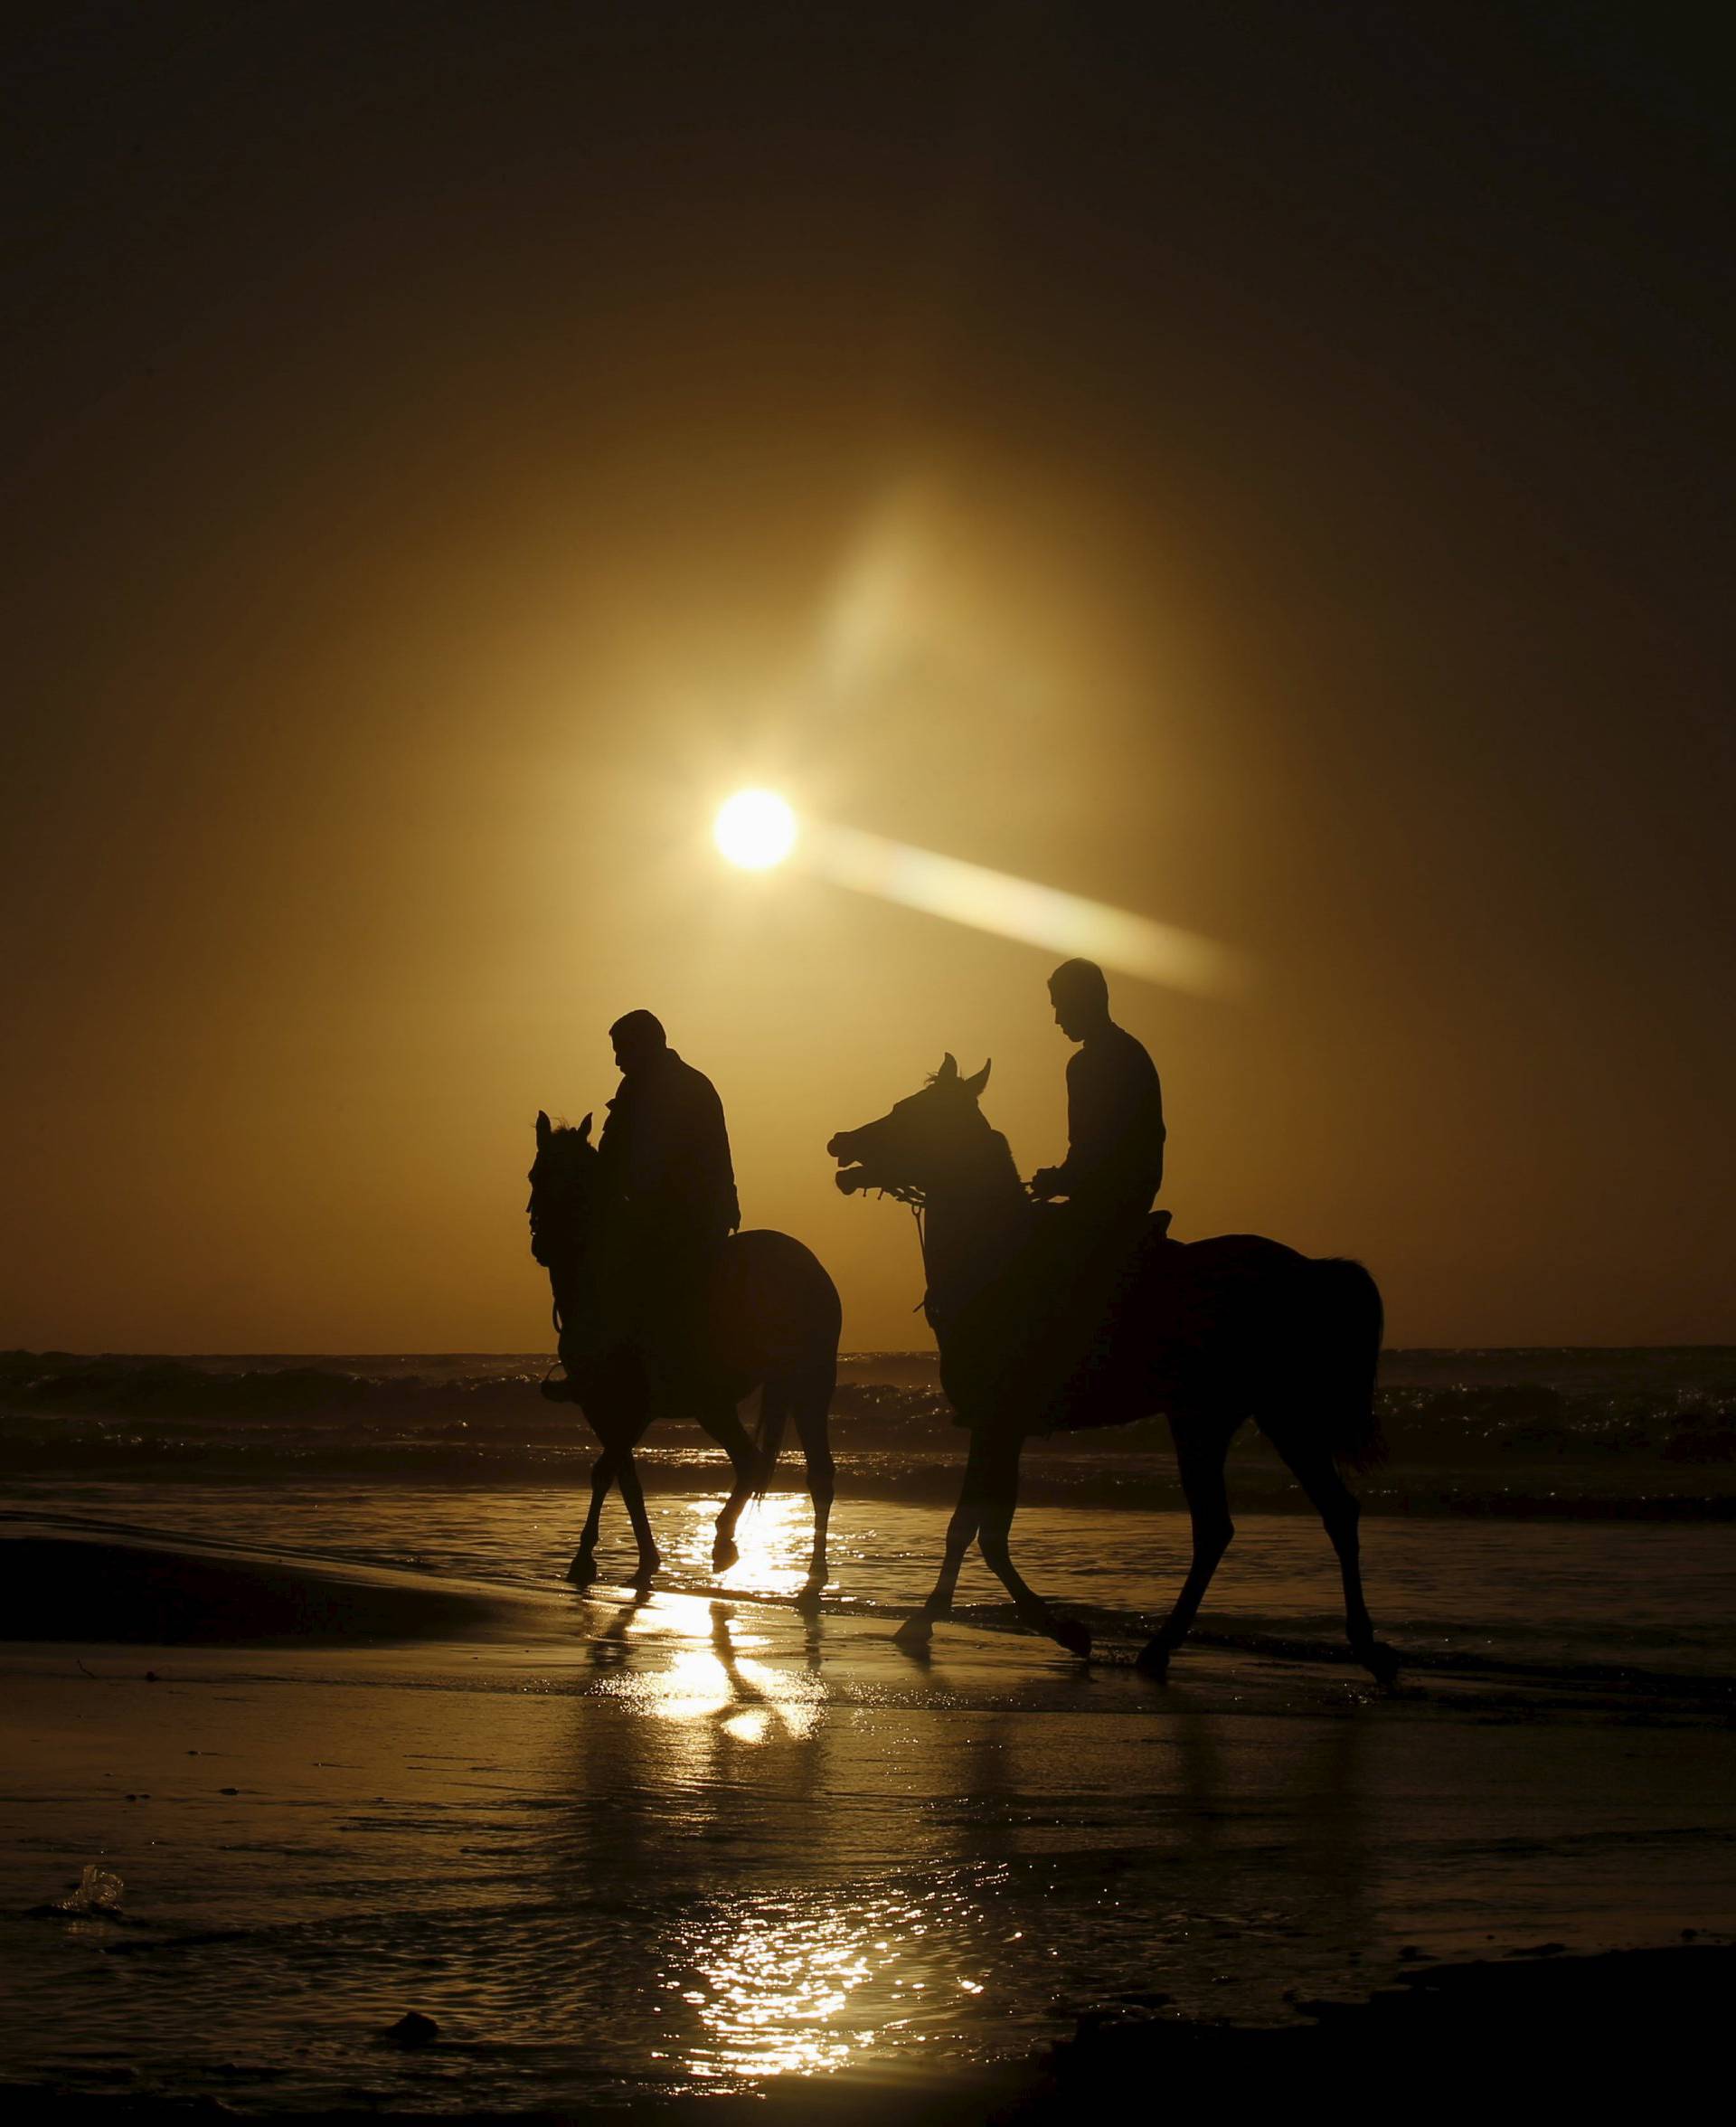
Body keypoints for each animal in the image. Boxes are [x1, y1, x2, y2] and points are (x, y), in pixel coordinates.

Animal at [529, 1114, 842, 1599]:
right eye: (536, 1175)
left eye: (579, 1181)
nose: (544, 1244)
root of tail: (811, 1268)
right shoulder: (608, 1409)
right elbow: (625, 1477)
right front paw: (645, 1560)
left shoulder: (626, 1405)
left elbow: (605, 1471)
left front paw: (583, 1559)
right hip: (732, 1400)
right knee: (772, 1465)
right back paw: (756, 1553)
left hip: (802, 1384)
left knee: (790, 1469)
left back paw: (780, 1560)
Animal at [825, 1054, 1395, 1684]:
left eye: (914, 1113)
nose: (840, 1141)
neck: (998, 1255)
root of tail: (1311, 1270)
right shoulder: (996, 1425)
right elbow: (974, 1528)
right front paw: (964, 1619)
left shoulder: (999, 1422)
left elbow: (980, 1530)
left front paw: (1047, 1628)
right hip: (1248, 1416)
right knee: (1303, 1516)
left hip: (1230, 1416)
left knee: (1242, 1523)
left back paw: (1174, 1647)